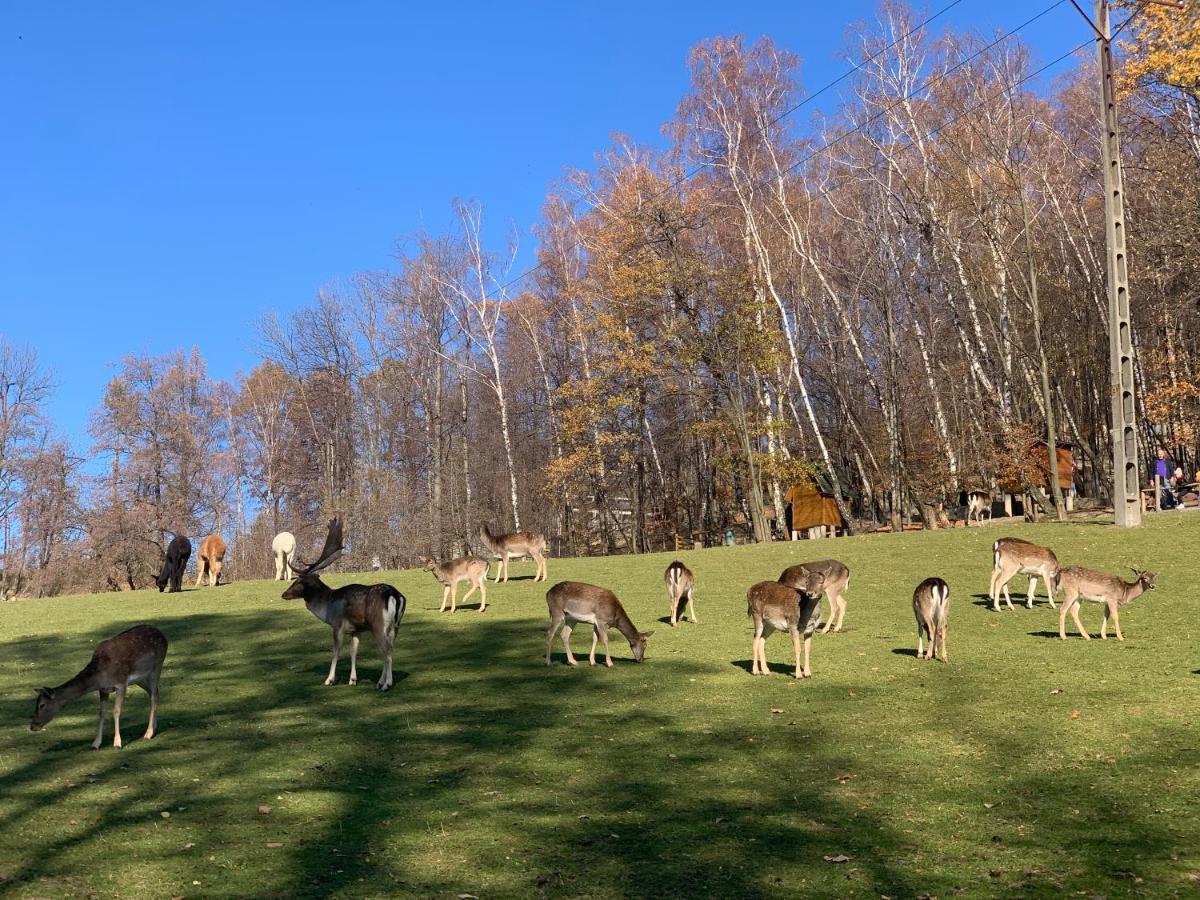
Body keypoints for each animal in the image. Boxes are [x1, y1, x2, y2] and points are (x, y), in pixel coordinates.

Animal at [30, 624, 168, 748]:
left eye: (42, 705)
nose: (33, 726)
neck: (99, 677)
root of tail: (162, 634)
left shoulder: (121, 683)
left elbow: (116, 711)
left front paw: (117, 743)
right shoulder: (103, 689)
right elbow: (102, 713)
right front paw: (96, 743)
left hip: (156, 666)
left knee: (153, 696)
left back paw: (148, 733)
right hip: (141, 679)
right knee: (155, 693)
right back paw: (154, 727)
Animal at [282, 518, 408, 696]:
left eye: (298, 582)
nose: (284, 594)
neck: (327, 607)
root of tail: (394, 594)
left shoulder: (337, 625)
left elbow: (336, 652)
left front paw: (329, 679)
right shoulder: (356, 630)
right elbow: (353, 652)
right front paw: (352, 680)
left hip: (378, 624)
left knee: (387, 651)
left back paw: (386, 684)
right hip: (396, 626)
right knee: (388, 649)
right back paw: (380, 682)